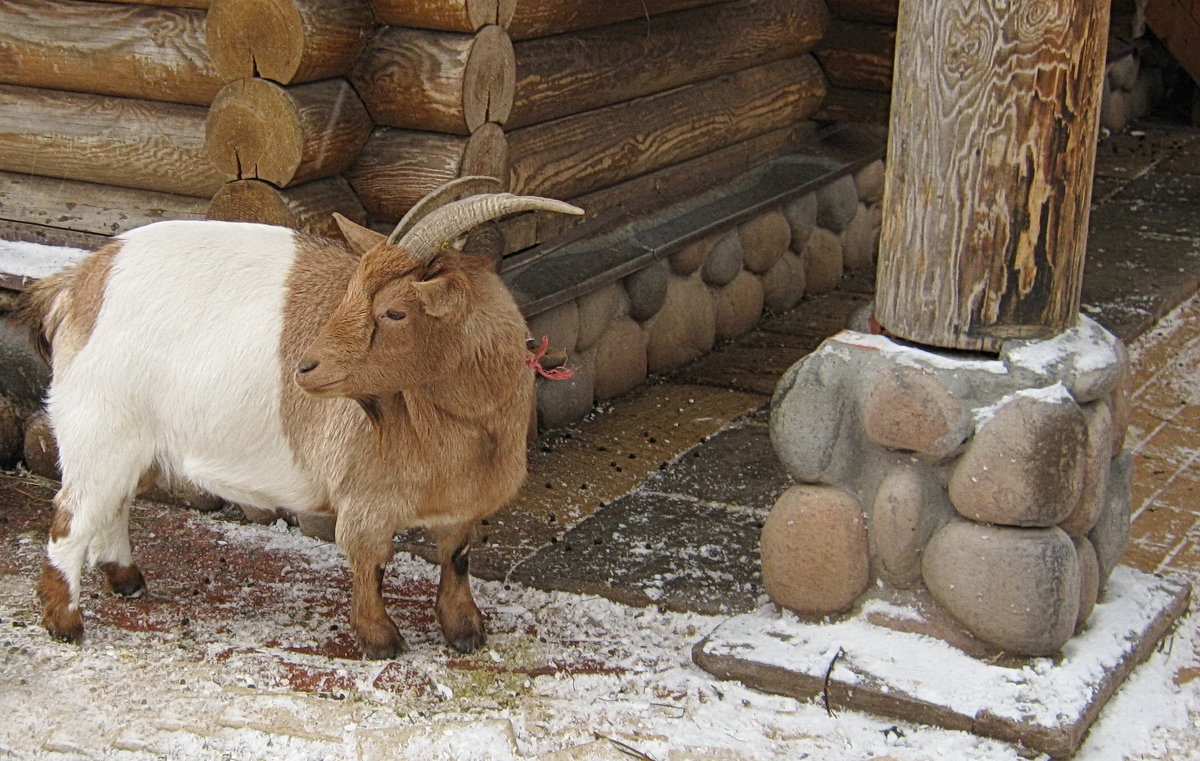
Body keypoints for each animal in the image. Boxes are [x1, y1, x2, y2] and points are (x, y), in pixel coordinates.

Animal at [19, 178, 580, 657]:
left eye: (395, 311)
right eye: (352, 292)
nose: (306, 368)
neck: (465, 431)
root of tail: (76, 283)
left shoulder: (464, 503)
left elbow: (456, 559)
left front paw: (465, 631)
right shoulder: (364, 494)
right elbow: (368, 561)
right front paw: (380, 639)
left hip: (132, 441)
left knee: (114, 505)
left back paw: (128, 582)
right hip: (97, 427)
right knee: (71, 518)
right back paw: (65, 623)